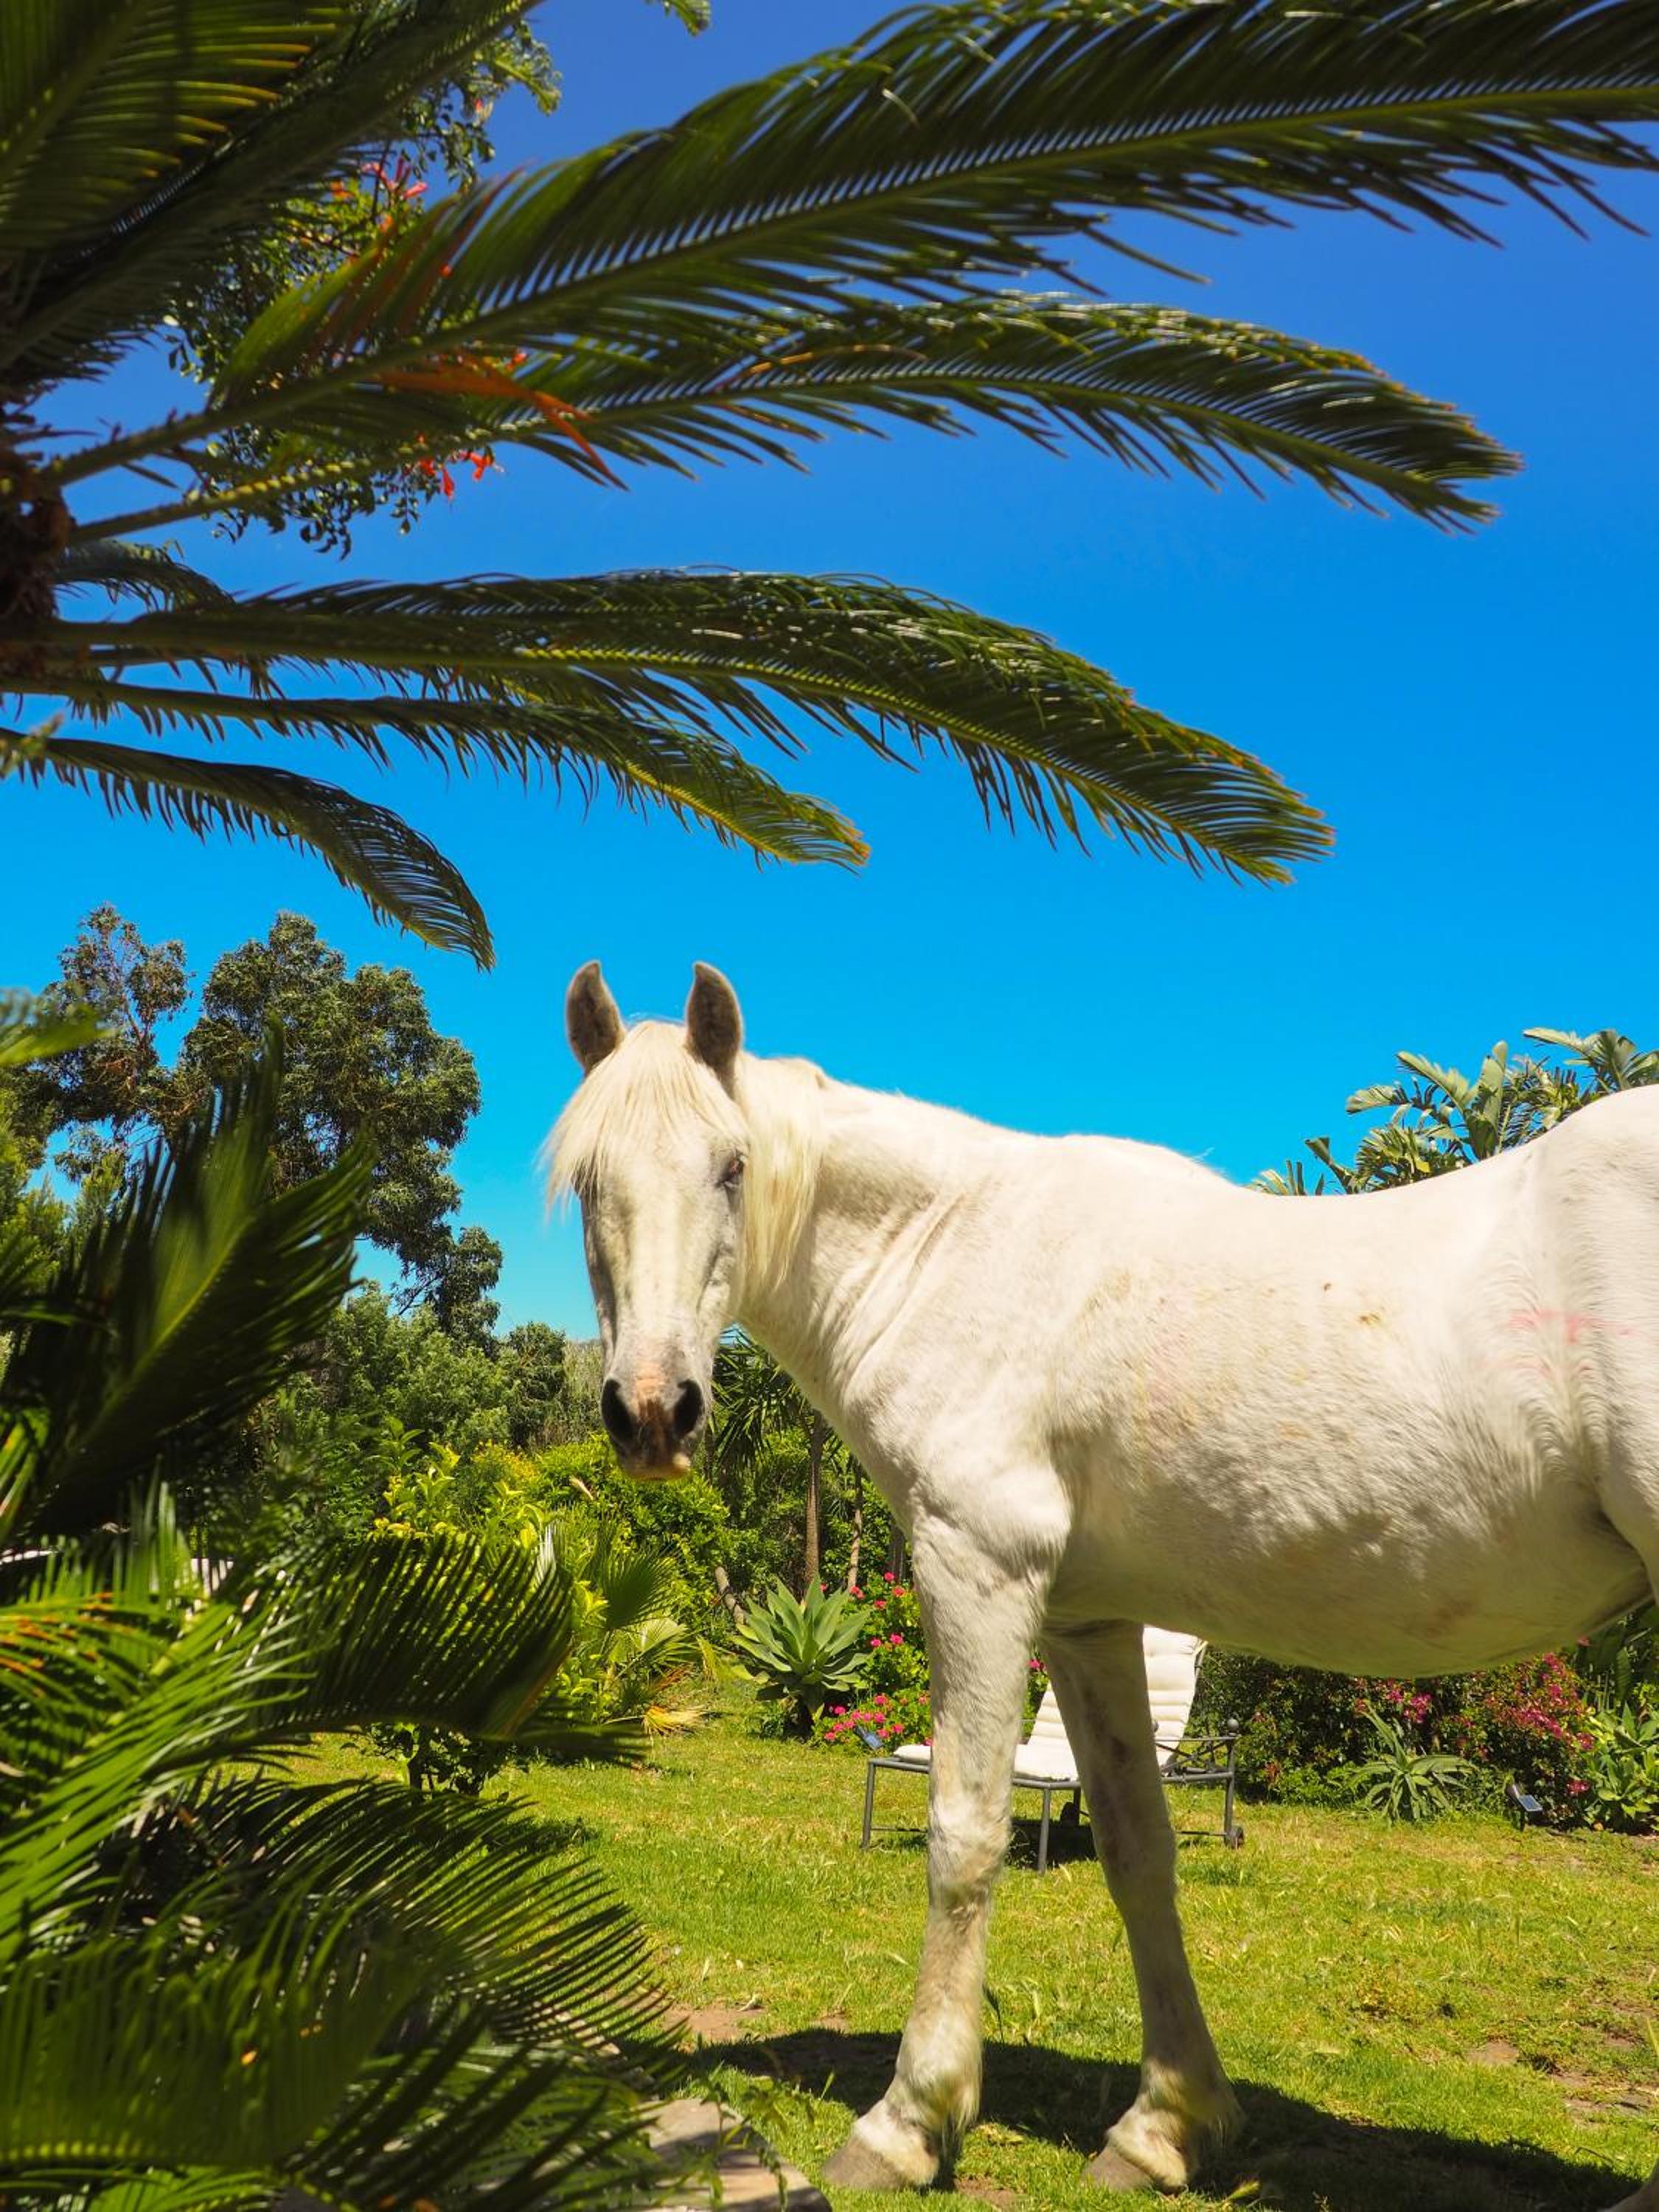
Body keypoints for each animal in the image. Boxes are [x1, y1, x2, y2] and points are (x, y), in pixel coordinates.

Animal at [551, 960, 1659, 2209]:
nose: (653, 1413)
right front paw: (1166, 2128)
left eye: (732, 1168)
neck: (948, 1251)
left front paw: (908, 2122)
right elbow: (1137, 1851)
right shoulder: (1088, 1620)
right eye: (589, 1181)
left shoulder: (977, 1571)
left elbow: (965, 1837)